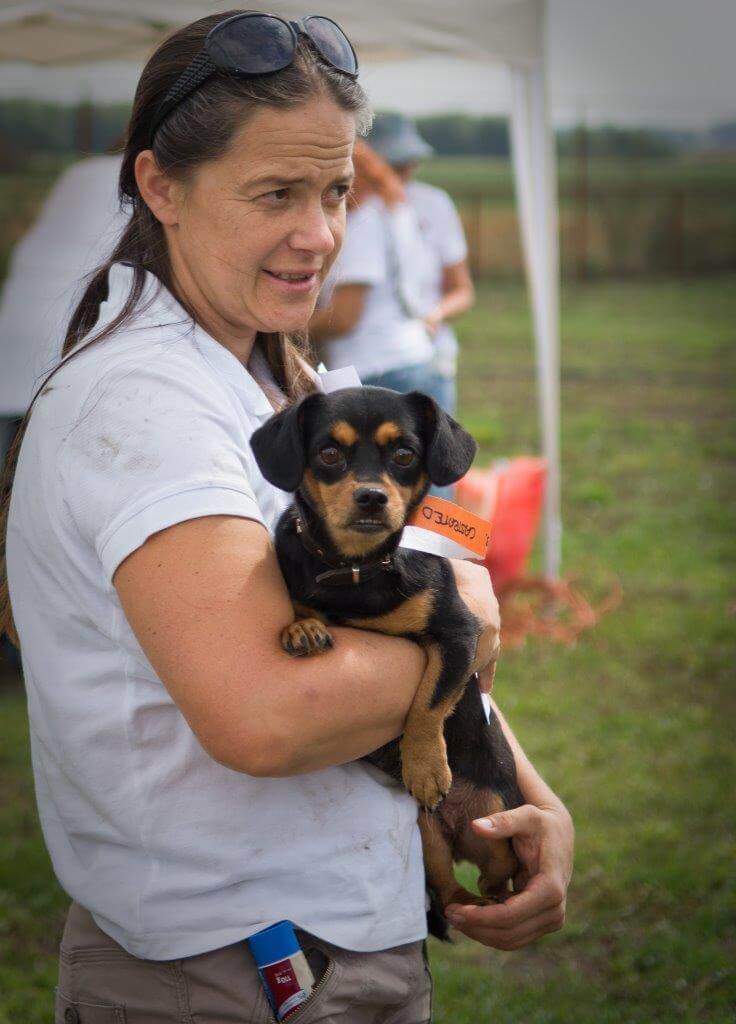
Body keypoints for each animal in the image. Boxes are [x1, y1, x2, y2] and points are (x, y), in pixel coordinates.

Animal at [250, 386, 523, 933]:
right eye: (328, 454)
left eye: (403, 455)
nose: (372, 497)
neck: (355, 568)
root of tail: (459, 828)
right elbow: (301, 607)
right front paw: (302, 627)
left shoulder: (457, 635)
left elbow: (429, 703)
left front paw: (425, 767)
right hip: (429, 838)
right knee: (450, 892)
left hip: (496, 816)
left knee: (495, 878)